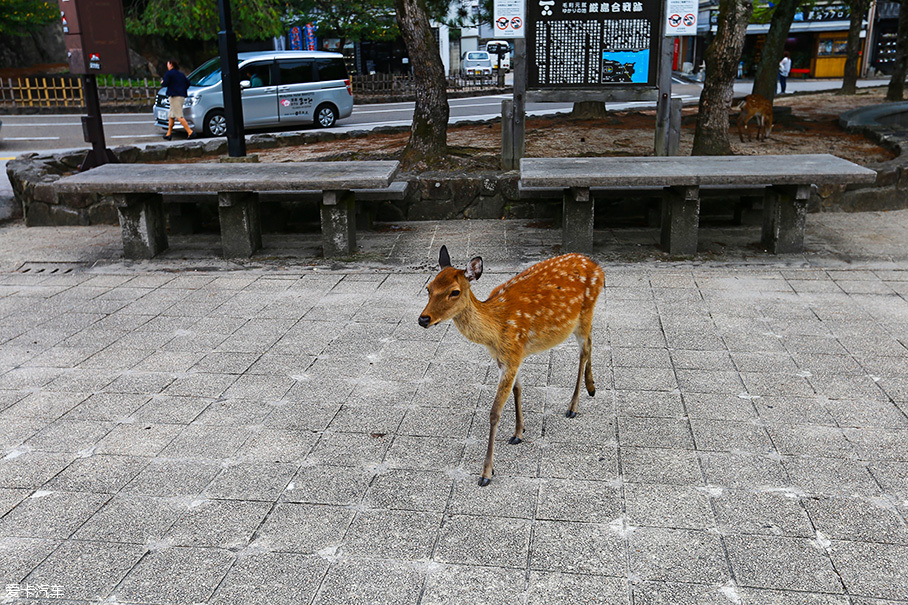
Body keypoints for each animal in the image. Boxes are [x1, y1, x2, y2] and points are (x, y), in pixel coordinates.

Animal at [416, 245, 604, 486]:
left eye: (454, 291)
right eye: (428, 288)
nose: (423, 319)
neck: (495, 331)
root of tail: (598, 267)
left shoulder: (513, 353)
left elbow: (495, 411)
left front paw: (486, 473)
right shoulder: (508, 357)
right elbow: (518, 389)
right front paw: (518, 432)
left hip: (585, 311)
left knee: (584, 350)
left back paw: (573, 406)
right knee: (591, 340)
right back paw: (591, 387)